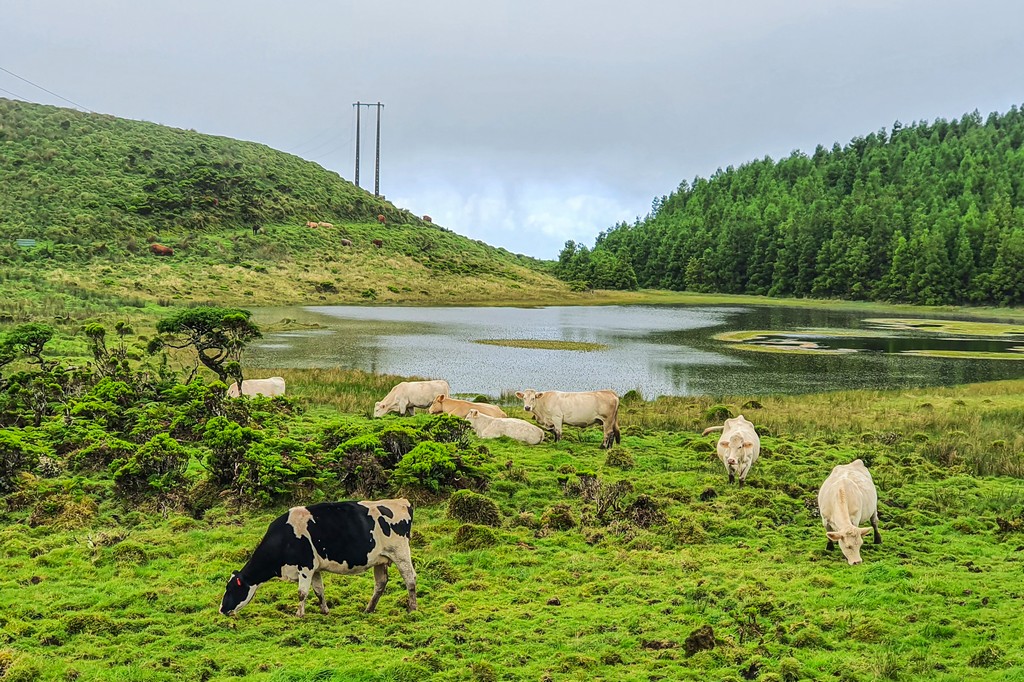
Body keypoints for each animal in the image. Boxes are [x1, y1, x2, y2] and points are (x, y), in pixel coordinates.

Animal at [222, 493, 417, 614]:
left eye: (231, 588)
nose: (221, 610)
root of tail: (402, 501)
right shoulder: (314, 568)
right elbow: (318, 591)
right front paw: (324, 610)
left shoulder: (305, 565)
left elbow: (302, 592)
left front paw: (299, 614)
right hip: (381, 559)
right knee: (381, 583)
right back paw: (368, 609)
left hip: (400, 552)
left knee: (410, 578)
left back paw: (412, 608)